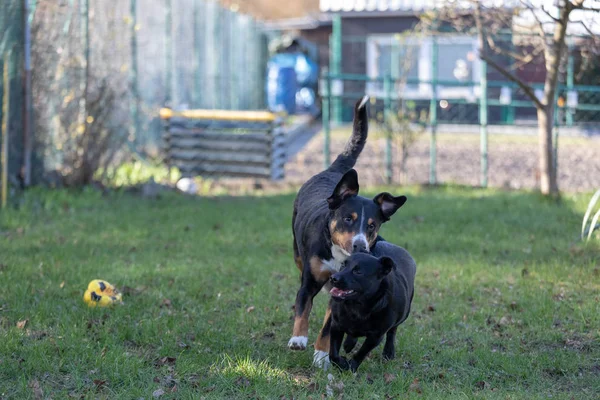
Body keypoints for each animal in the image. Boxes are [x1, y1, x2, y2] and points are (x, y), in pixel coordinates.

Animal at [288, 95, 408, 368]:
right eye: (348, 219)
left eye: (372, 225)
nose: (360, 244)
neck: (339, 257)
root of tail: (334, 172)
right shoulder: (309, 282)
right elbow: (303, 308)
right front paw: (298, 338)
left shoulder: (341, 293)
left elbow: (327, 328)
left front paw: (322, 355)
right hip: (297, 252)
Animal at [326, 241, 414, 376]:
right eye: (343, 265)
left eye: (358, 272)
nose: (333, 278)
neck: (356, 307)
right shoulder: (336, 325)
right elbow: (333, 354)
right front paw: (342, 363)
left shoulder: (376, 336)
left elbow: (361, 353)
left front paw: (351, 367)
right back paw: (349, 344)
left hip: (404, 315)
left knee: (392, 331)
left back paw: (388, 352)